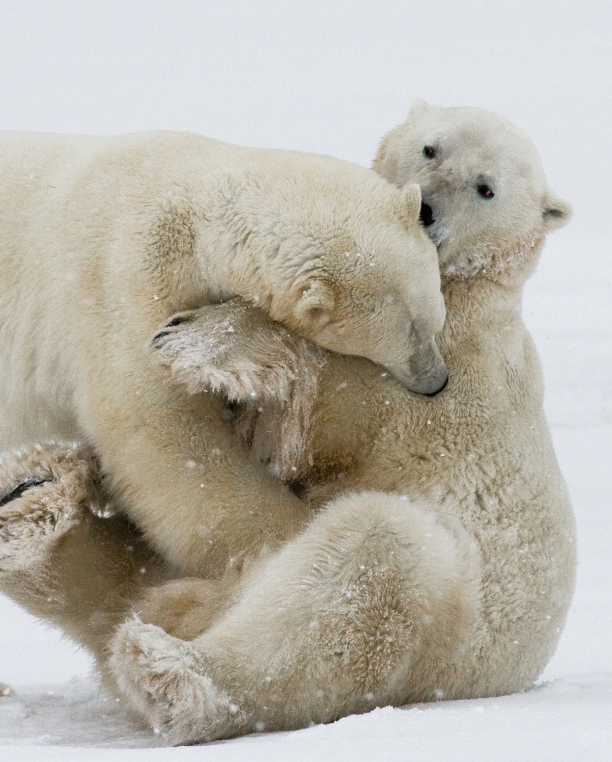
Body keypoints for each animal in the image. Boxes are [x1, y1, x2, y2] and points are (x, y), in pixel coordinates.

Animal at [0, 131, 447, 578]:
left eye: (434, 318)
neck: (188, 207)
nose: (438, 381)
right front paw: (290, 535)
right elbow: (163, 429)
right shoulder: (127, 285)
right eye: (410, 332)